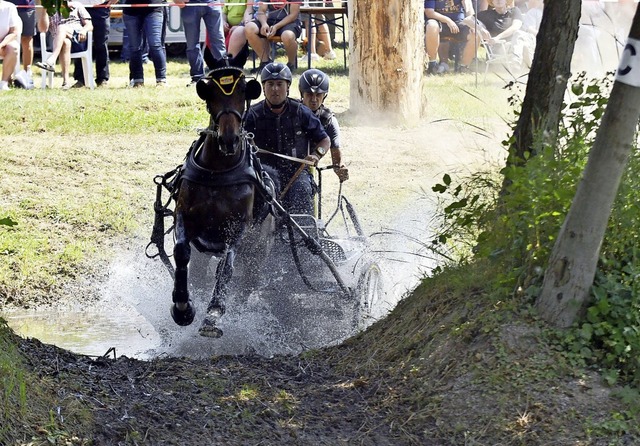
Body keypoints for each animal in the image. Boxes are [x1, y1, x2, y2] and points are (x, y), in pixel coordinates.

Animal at [169, 63, 272, 338]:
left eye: (243, 92)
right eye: (210, 94)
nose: (228, 139)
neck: (217, 172)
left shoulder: (236, 227)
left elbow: (226, 267)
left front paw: (214, 313)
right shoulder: (185, 216)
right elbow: (181, 252)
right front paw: (183, 307)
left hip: (258, 253)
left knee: (247, 283)